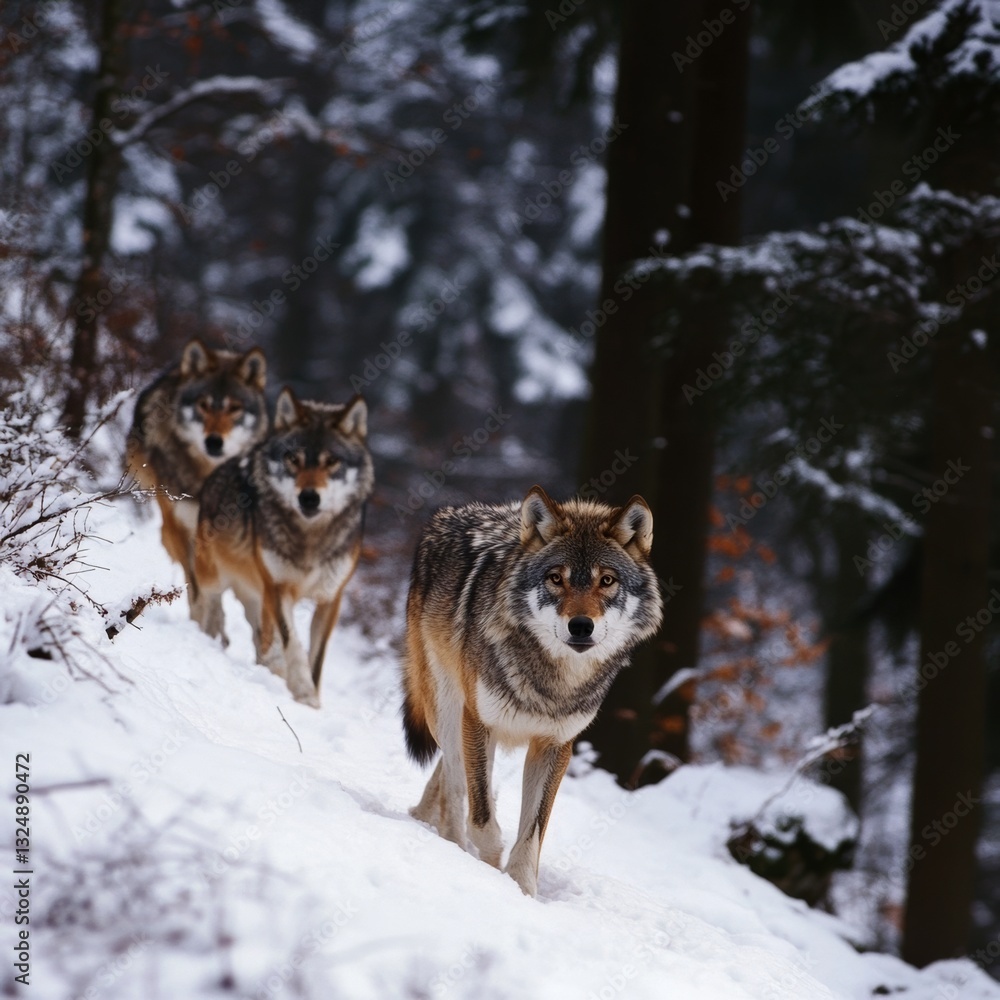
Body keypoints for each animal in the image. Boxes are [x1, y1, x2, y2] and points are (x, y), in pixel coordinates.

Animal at [126, 339, 268, 617]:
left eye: (234, 408)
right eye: (203, 405)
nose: (213, 441)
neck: (205, 475)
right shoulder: (181, 526)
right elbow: (198, 588)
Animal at [193, 387, 374, 707]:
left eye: (331, 462)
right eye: (293, 459)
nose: (309, 497)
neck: (309, 538)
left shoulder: (330, 599)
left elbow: (315, 659)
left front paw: (311, 700)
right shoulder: (278, 588)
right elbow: (294, 645)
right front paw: (302, 691)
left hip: (257, 595)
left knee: (260, 635)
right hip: (216, 578)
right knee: (207, 604)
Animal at [400, 485, 663, 896]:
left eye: (607, 580)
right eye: (556, 578)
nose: (581, 626)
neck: (551, 681)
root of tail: (448, 513)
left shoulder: (555, 745)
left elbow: (532, 834)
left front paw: (522, 890)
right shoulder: (478, 723)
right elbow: (483, 819)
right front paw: (487, 865)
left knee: (449, 777)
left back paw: (425, 818)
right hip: (447, 711)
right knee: (456, 785)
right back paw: (451, 842)